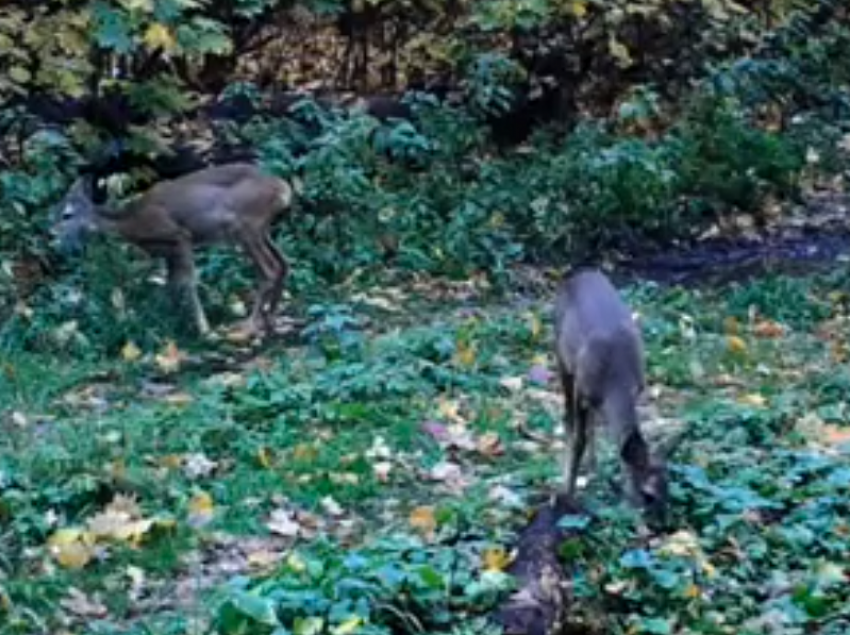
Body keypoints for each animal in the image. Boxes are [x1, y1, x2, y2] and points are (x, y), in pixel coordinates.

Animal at [53, 164, 294, 338]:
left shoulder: (180, 236)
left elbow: (187, 282)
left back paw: (249, 326)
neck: (133, 221)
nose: (51, 234)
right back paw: (271, 320)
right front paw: (166, 324)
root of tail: (283, 189)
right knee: (283, 263)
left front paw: (204, 330)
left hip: (245, 227)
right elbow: (170, 284)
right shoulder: (168, 252)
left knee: (269, 270)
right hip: (261, 230)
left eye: (66, 215)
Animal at [552, 266, 664, 520]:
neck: (616, 381)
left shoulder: (637, 389)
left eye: (668, 488)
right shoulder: (581, 387)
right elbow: (578, 439)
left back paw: (593, 466)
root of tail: (579, 273)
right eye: (648, 495)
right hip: (560, 353)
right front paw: (567, 496)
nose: (661, 523)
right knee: (568, 416)